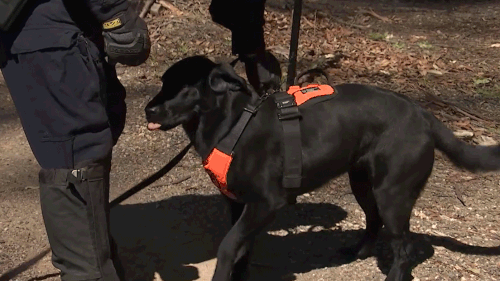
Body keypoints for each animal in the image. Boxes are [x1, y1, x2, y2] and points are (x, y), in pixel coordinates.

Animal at [145, 55, 500, 280]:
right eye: (163, 82)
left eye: (184, 88)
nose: (148, 109)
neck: (232, 125)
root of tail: (423, 114)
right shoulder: (238, 205)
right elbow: (242, 251)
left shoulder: (265, 204)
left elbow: (229, 246)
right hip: (362, 183)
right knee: (373, 221)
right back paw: (358, 252)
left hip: (393, 194)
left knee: (404, 248)